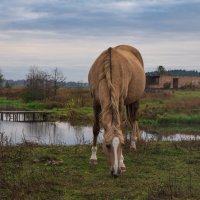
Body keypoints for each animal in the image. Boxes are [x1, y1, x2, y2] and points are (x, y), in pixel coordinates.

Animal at [88, 44, 145, 177]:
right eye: (107, 145)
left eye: (122, 144)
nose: (115, 171)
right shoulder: (95, 102)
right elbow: (96, 129)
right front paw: (93, 157)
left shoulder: (120, 101)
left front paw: (122, 163)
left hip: (135, 101)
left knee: (134, 120)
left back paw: (133, 144)